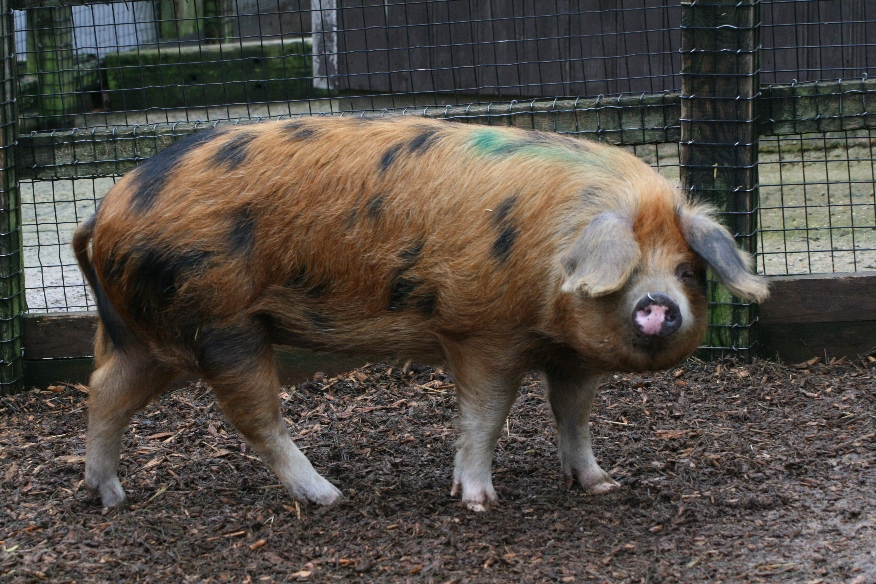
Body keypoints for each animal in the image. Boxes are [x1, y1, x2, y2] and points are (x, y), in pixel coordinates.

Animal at [72, 116, 768, 512]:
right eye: (625, 268)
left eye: (686, 270)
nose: (657, 306)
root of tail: (106, 208)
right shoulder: (480, 332)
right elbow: (484, 417)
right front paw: (479, 503)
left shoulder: (570, 354)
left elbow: (573, 417)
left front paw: (602, 485)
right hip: (219, 323)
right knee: (256, 420)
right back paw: (331, 497)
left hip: (151, 336)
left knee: (104, 391)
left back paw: (109, 500)